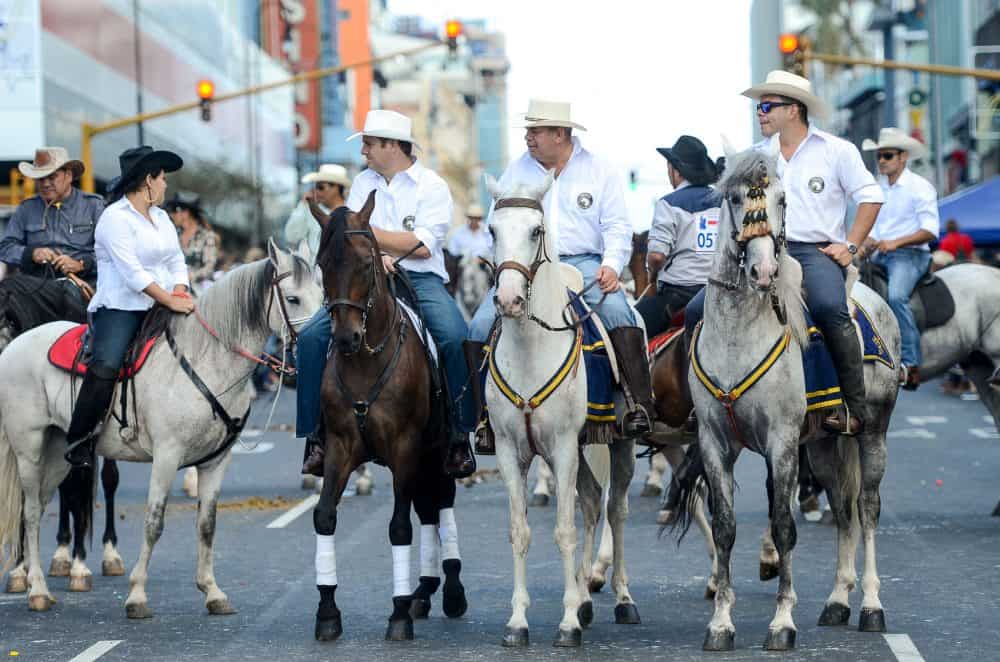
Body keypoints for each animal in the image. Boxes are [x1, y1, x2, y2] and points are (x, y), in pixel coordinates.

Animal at [0, 246, 320, 620]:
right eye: (293, 298)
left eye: (322, 295)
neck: (207, 360)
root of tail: (14, 346)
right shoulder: (167, 456)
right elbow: (153, 523)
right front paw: (137, 595)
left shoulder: (216, 461)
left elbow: (207, 524)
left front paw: (212, 591)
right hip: (28, 450)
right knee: (31, 512)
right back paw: (36, 588)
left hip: (58, 454)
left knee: (39, 506)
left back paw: (40, 582)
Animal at [308, 196, 464, 644]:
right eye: (323, 263)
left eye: (365, 262)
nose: (345, 338)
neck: (366, 359)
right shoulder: (340, 446)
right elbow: (325, 516)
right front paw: (328, 611)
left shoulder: (404, 448)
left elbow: (399, 528)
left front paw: (397, 615)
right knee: (429, 509)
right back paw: (424, 591)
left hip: (436, 455)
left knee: (440, 504)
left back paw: (449, 591)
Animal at [484, 175, 640, 648]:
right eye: (492, 230)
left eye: (536, 230)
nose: (509, 299)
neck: (531, 350)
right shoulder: (508, 452)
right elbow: (520, 531)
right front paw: (518, 621)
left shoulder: (565, 448)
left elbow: (565, 531)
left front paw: (568, 622)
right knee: (590, 503)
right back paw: (587, 599)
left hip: (619, 445)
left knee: (614, 510)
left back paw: (621, 598)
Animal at [676, 149, 904, 652]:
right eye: (735, 198)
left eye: (783, 200)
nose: (762, 272)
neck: (739, 334)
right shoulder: (714, 443)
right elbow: (724, 527)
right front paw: (720, 624)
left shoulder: (781, 443)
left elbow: (784, 525)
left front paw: (782, 623)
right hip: (822, 444)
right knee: (843, 508)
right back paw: (837, 601)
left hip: (873, 433)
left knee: (867, 509)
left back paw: (871, 606)